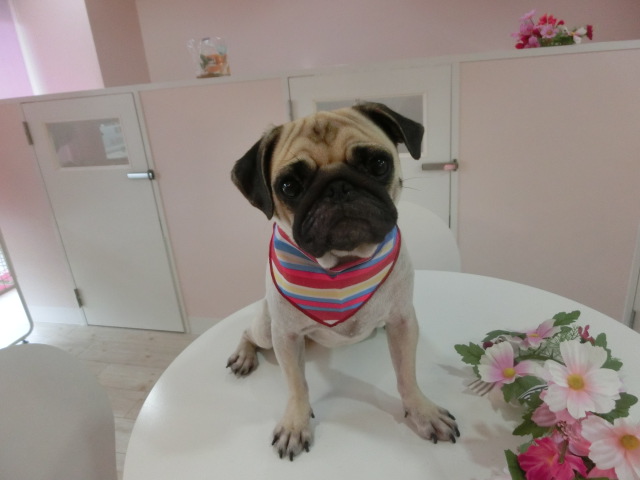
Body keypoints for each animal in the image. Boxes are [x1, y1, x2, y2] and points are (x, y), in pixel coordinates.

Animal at [227, 102, 459, 460]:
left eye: (378, 164)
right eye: (289, 186)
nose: (337, 188)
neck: (342, 266)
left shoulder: (403, 321)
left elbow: (407, 375)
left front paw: (422, 412)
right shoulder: (286, 336)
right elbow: (297, 386)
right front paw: (296, 424)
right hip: (267, 328)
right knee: (248, 333)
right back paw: (243, 356)